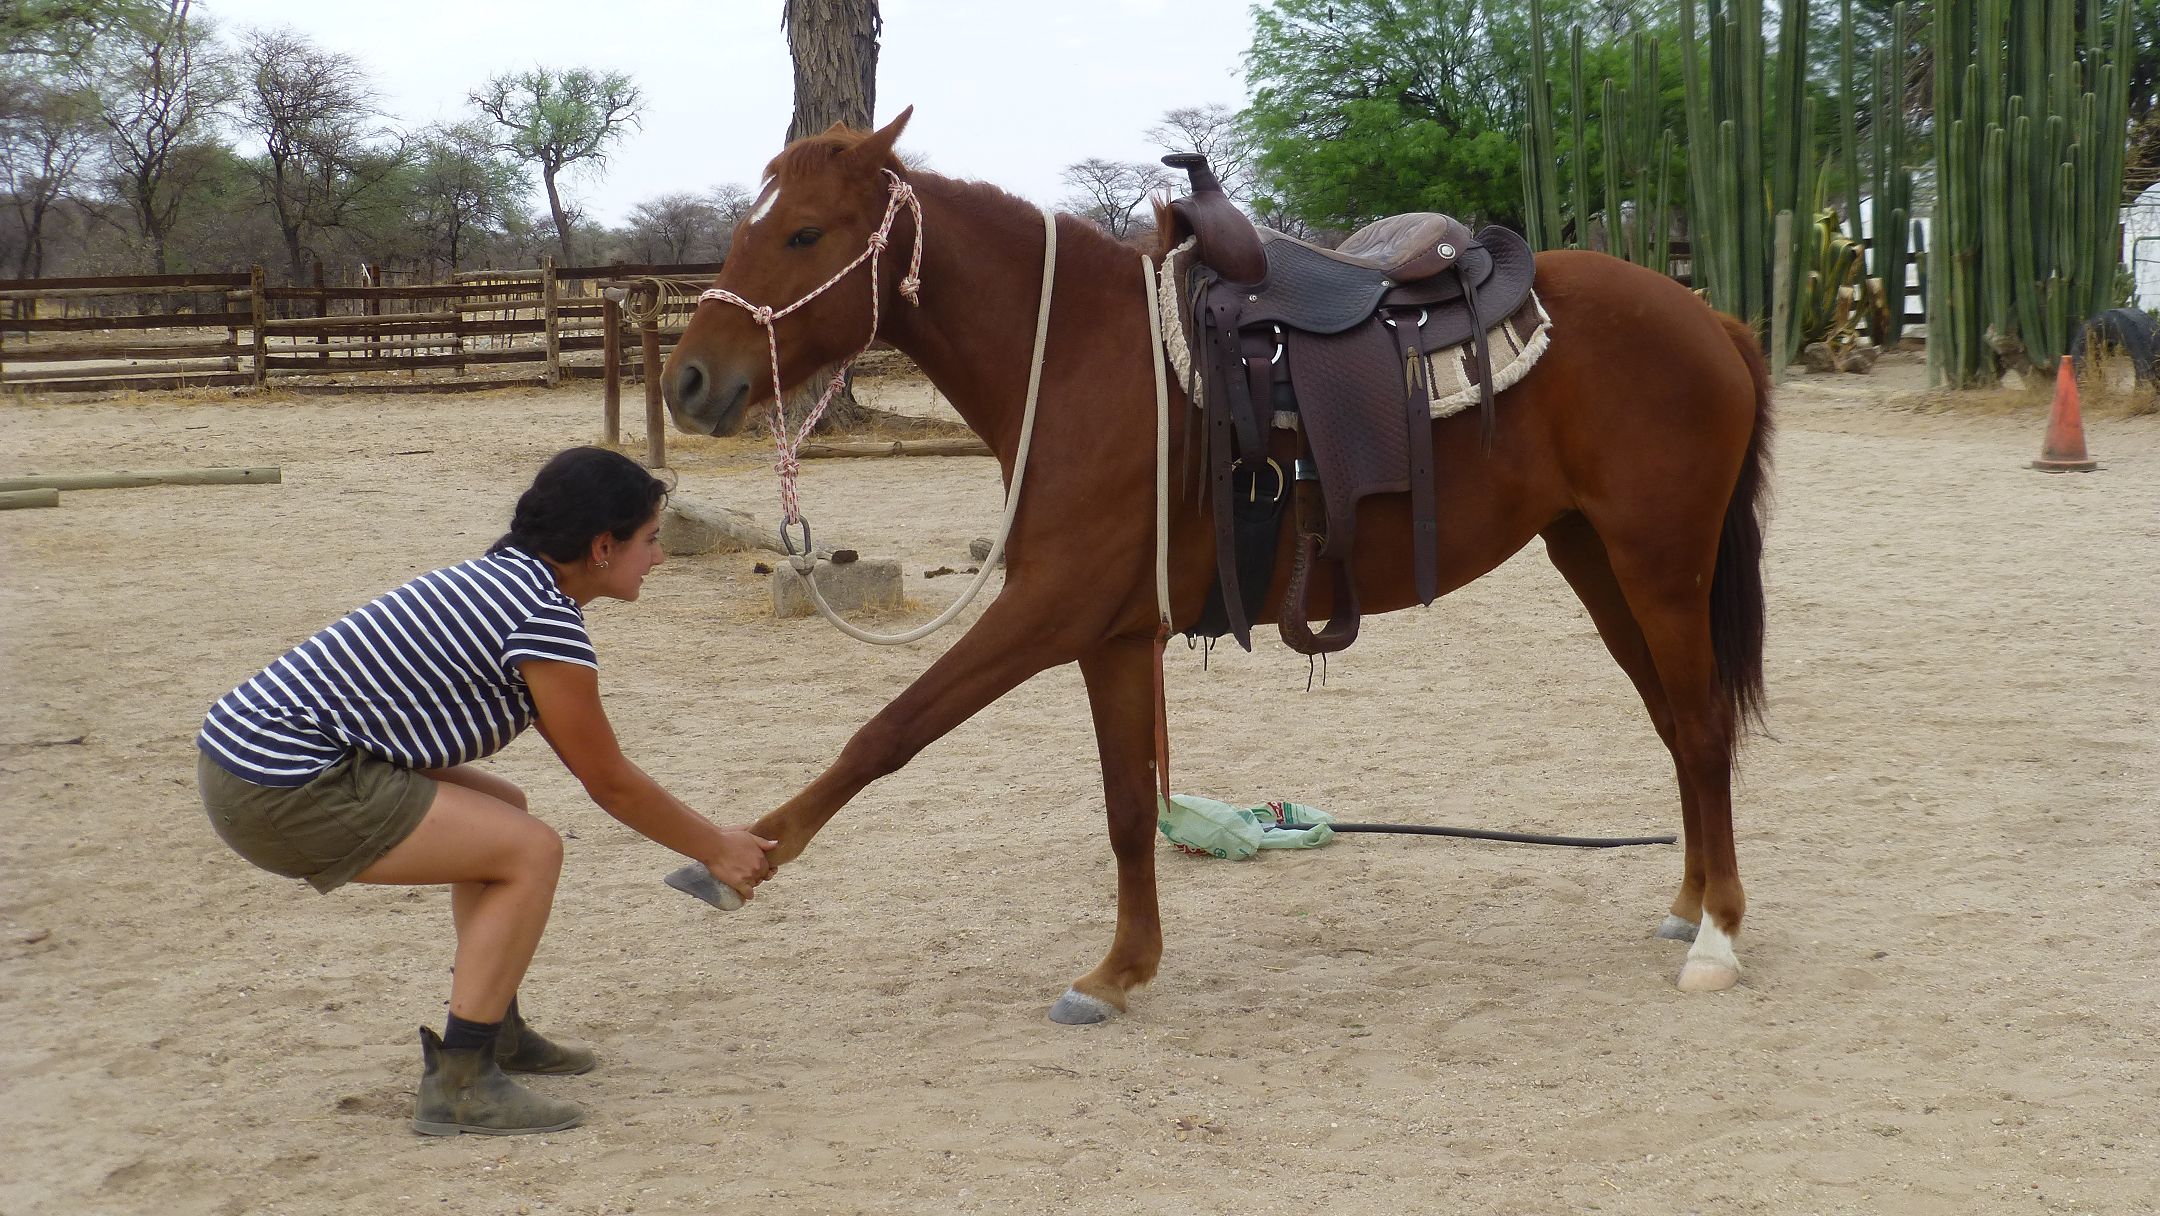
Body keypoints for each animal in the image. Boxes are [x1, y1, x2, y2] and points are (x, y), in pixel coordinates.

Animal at [660, 109, 1771, 1023]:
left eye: (804, 233)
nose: (690, 381)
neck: (1084, 361)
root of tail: (1711, 318)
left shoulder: (1048, 610)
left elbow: (889, 730)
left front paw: (743, 861)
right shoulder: (1111, 634)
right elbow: (1125, 806)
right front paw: (1118, 971)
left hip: (1662, 565)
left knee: (1704, 725)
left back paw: (1717, 937)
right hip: (1598, 559)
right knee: (1675, 726)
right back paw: (1686, 904)